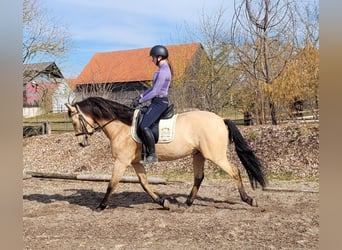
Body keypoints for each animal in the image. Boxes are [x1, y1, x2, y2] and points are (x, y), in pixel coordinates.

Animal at [65, 96, 268, 211]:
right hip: (198, 154)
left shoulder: (122, 161)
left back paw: (249, 200)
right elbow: (144, 184)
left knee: (235, 172)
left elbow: (111, 184)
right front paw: (162, 202)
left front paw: (100, 206)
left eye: (75, 121)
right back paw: (187, 203)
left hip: (215, 155)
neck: (121, 125)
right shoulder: (135, 162)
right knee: (199, 177)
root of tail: (221, 119)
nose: (82, 142)